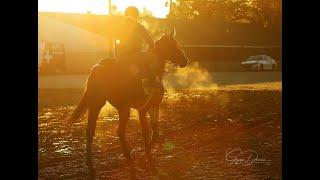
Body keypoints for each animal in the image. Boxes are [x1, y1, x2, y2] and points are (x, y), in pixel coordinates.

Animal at [67, 28, 188, 169]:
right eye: (172, 46)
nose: (185, 60)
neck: (150, 73)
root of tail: (97, 67)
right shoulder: (142, 109)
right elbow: (146, 132)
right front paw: (147, 157)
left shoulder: (154, 106)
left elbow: (155, 133)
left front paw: (144, 157)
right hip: (101, 104)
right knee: (98, 131)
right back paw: (94, 162)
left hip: (118, 108)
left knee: (111, 131)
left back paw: (125, 157)